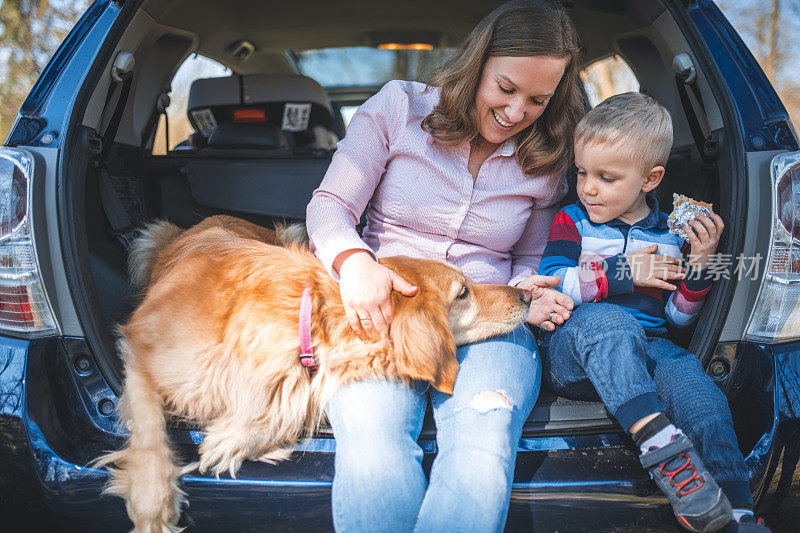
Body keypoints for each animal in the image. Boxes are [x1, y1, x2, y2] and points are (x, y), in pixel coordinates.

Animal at [94, 214, 532, 528]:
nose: (526, 294)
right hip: (150, 238)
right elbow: (149, 432)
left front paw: (230, 440)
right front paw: (152, 503)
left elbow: (280, 409)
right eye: (463, 292)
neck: (308, 320)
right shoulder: (140, 351)